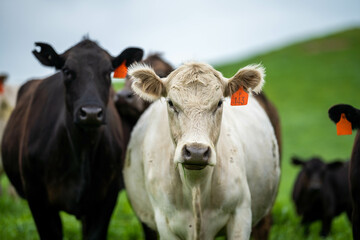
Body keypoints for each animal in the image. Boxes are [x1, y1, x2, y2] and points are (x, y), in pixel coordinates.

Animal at [1, 38, 143, 239]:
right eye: (67, 71)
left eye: (108, 72)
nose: (91, 113)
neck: (81, 150)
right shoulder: (37, 198)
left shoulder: (106, 199)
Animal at [124, 62, 282, 240]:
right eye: (171, 103)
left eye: (219, 103)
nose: (196, 152)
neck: (196, 185)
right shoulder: (164, 222)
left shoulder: (241, 215)